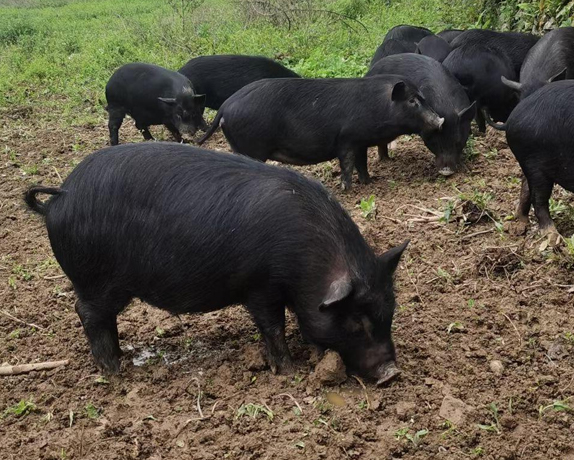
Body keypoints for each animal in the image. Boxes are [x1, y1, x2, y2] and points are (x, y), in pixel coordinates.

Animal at [25, 142, 409, 384]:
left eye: (390, 314)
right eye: (357, 322)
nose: (392, 373)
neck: (308, 259)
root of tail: (60, 197)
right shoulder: (260, 287)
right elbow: (273, 327)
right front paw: (289, 372)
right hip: (97, 281)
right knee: (88, 313)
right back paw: (114, 371)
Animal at [197, 76, 444, 190]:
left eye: (422, 97)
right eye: (412, 101)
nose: (440, 120)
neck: (378, 105)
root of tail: (226, 106)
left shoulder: (361, 141)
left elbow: (362, 163)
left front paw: (369, 182)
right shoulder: (346, 140)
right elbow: (347, 164)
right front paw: (346, 188)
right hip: (250, 147)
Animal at [485, 81, 574, 235]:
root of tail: (510, 119)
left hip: (530, 162)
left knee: (525, 185)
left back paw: (521, 222)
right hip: (535, 164)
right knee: (538, 199)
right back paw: (553, 235)